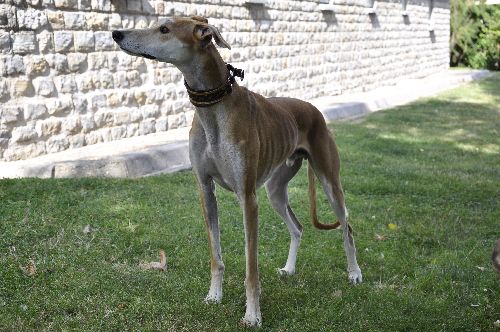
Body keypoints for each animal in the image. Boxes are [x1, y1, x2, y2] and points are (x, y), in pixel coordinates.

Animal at [112, 16, 364, 326]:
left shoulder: (248, 199)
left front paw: (253, 314)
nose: (116, 33)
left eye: (164, 29)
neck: (214, 110)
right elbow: (216, 256)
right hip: (275, 191)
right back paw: (289, 269)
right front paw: (214, 296)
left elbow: (251, 268)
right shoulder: (205, 190)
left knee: (347, 228)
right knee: (297, 227)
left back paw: (354, 273)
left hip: (329, 182)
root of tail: (313, 108)